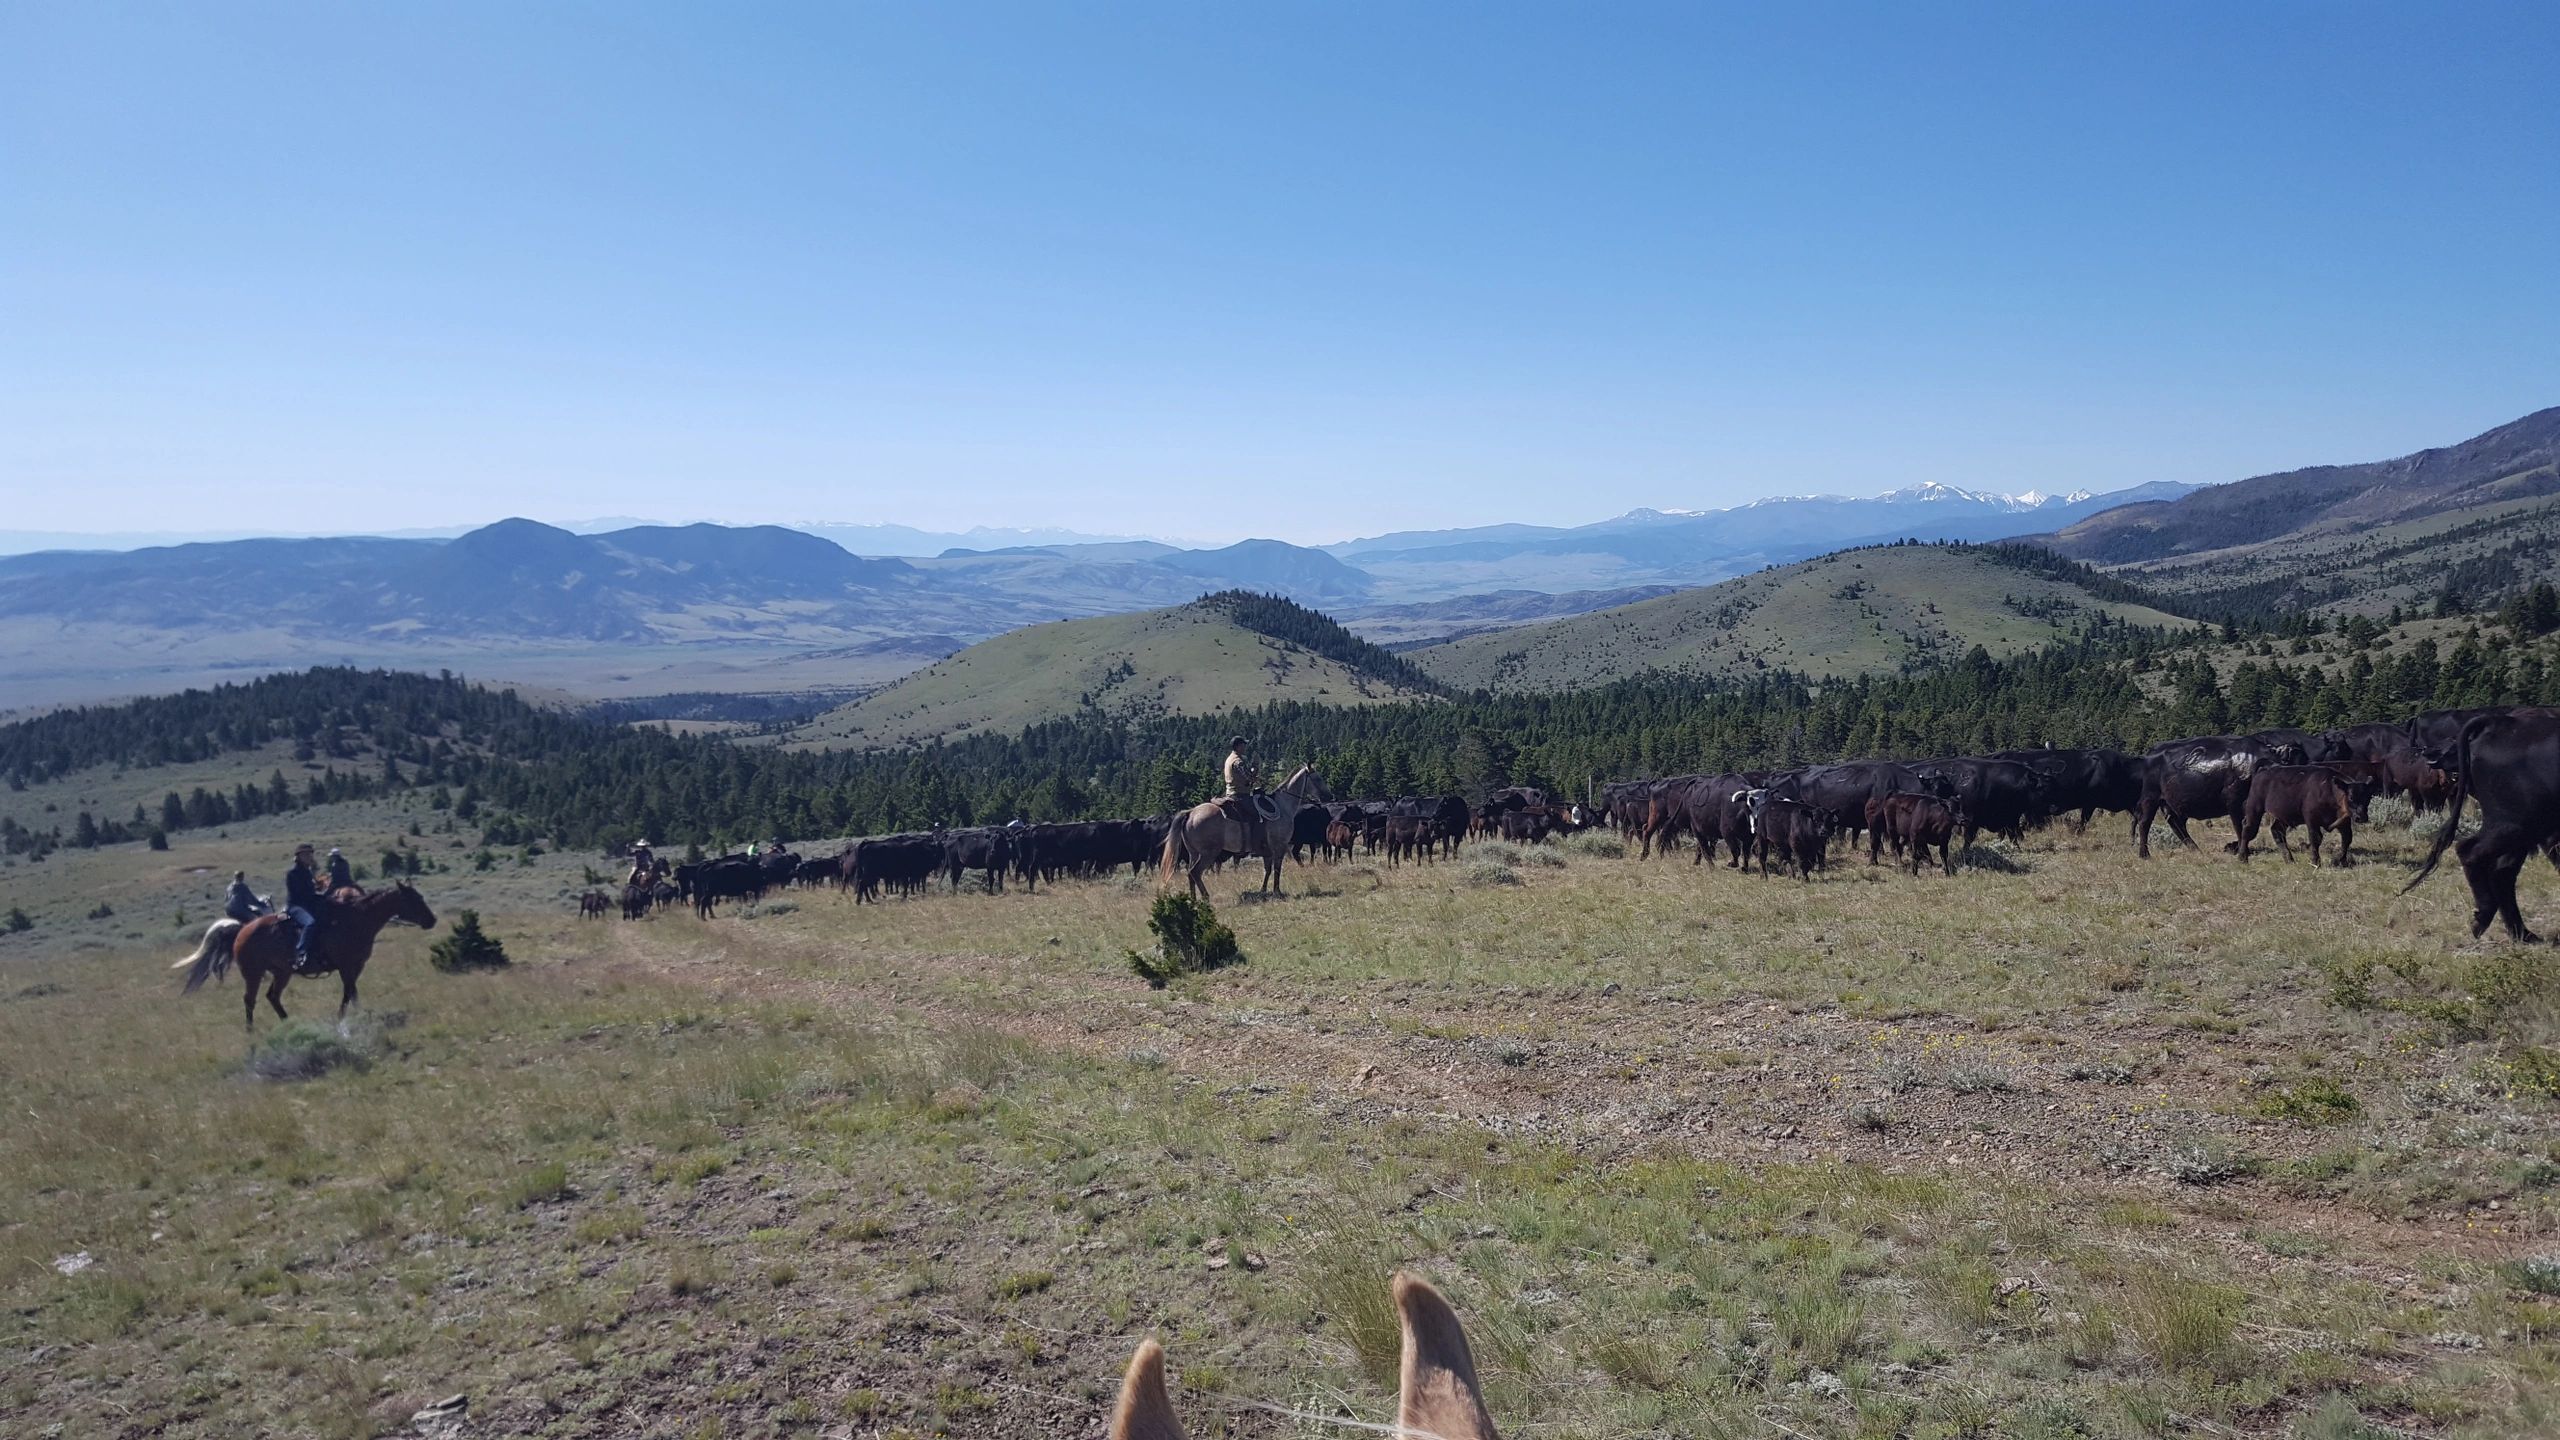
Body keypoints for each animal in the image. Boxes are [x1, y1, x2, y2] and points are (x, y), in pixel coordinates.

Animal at [176, 881, 440, 1024]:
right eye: (414, 899)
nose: (432, 920)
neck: (356, 919)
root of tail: (242, 930)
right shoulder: (347, 966)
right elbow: (349, 993)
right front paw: (346, 1017)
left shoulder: (354, 967)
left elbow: (351, 993)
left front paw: (354, 1015)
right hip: (253, 974)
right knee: (250, 1000)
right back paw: (251, 1031)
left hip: (281, 972)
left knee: (272, 997)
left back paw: (288, 1021)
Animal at [1152, 763, 1331, 896]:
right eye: (1318, 778)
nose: (1329, 796)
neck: (1283, 805)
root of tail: (1190, 813)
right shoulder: (1279, 846)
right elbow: (1277, 869)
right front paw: (1277, 891)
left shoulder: (1268, 851)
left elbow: (1267, 870)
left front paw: (1263, 890)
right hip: (1208, 853)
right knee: (1195, 873)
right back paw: (1205, 897)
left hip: (1194, 853)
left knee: (1190, 874)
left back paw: (1194, 899)